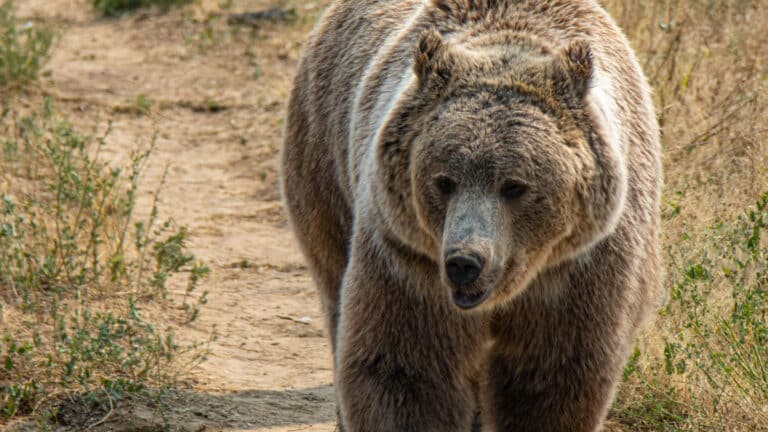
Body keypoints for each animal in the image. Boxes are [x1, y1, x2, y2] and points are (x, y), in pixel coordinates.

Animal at [280, 0, 663, 430]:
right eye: (444, 181)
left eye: (514, 186)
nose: (465, 262)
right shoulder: (409, 260)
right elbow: (406, 369)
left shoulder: (582, 267)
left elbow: (550, 379)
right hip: (325, 158)